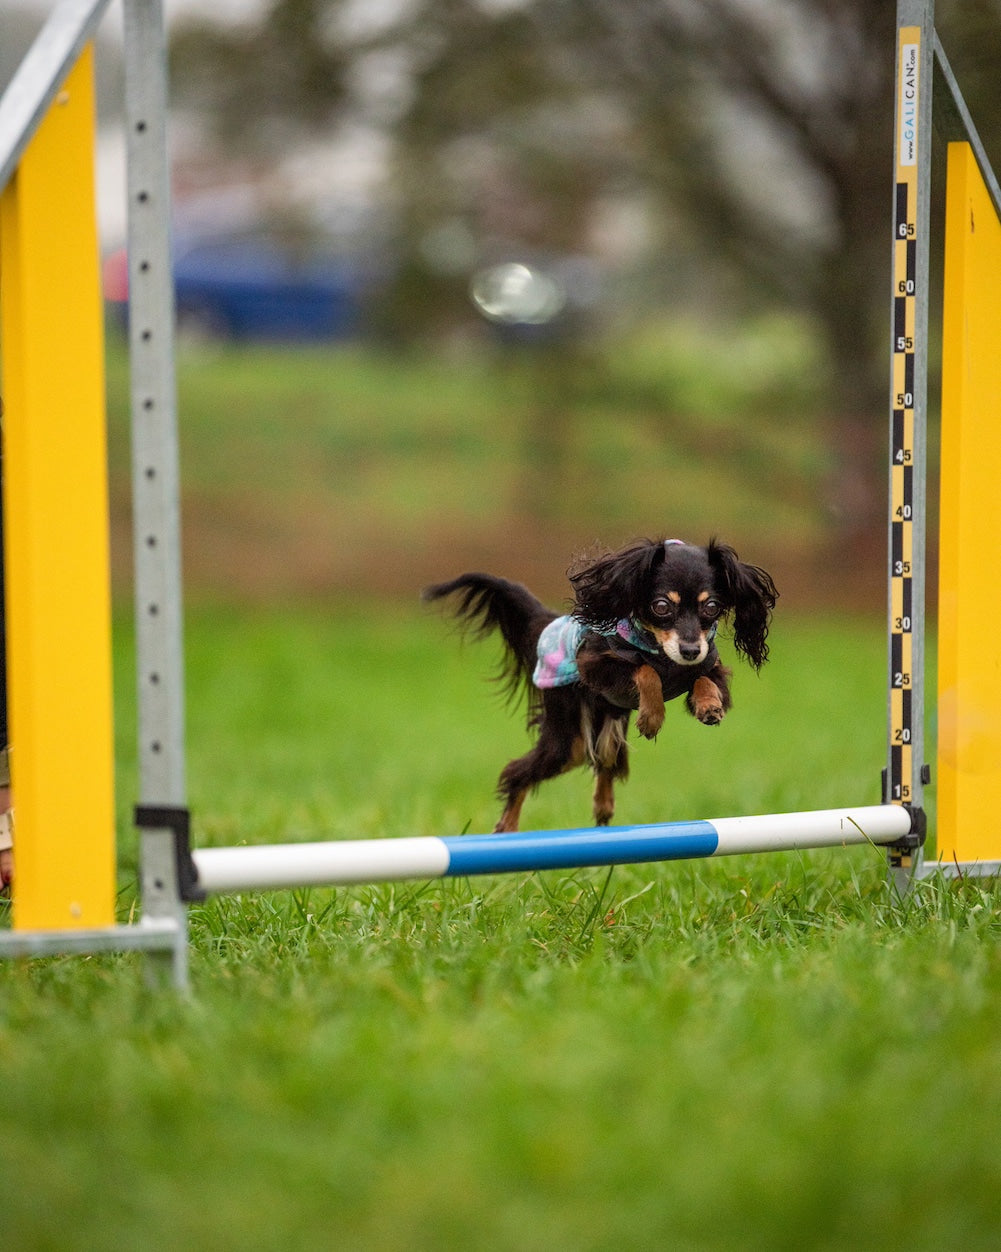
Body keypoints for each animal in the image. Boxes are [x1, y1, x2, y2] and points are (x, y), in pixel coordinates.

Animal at [420, 535, 775, 831]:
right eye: (661, 606)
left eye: (711, 606)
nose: (689, 650)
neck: (660, 650)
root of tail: (549, 625)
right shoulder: (595, 666)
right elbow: (645, 670)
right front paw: (652, 717)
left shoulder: (707, 663)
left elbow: (703, 676)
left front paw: (709, 705)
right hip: (567, 738)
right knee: (519, 772)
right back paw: (506, 826)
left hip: (607, 720)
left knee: (605, 758)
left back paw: (603, 805)